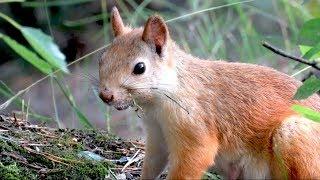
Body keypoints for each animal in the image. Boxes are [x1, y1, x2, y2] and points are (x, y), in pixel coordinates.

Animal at [99, 6, 320, 179]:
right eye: (102, 58)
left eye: (140, 68)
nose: (105, 96)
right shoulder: (156, 134)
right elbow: (153, 163)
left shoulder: (193, 127)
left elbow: (193, 161)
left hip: (294, 136)